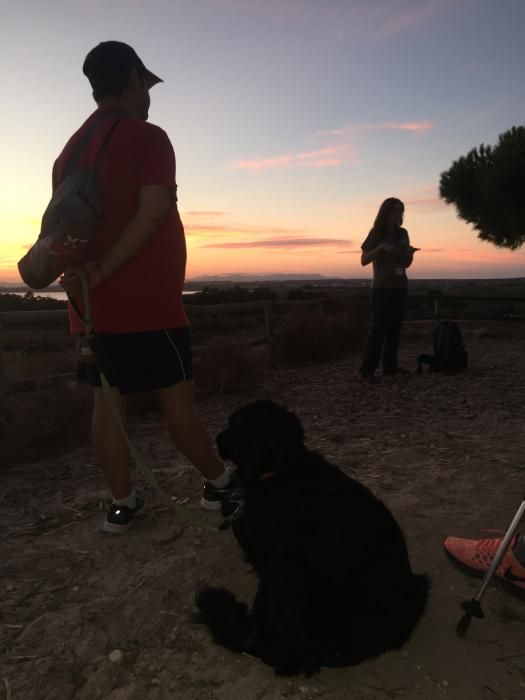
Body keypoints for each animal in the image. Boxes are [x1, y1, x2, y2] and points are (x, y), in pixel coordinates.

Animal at [194, 402, 428, 676]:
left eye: (235, 425)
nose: (217, 439)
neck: (283, 467)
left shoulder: (261, 549)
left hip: (285, 567)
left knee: (256, 641)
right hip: (419, 587)